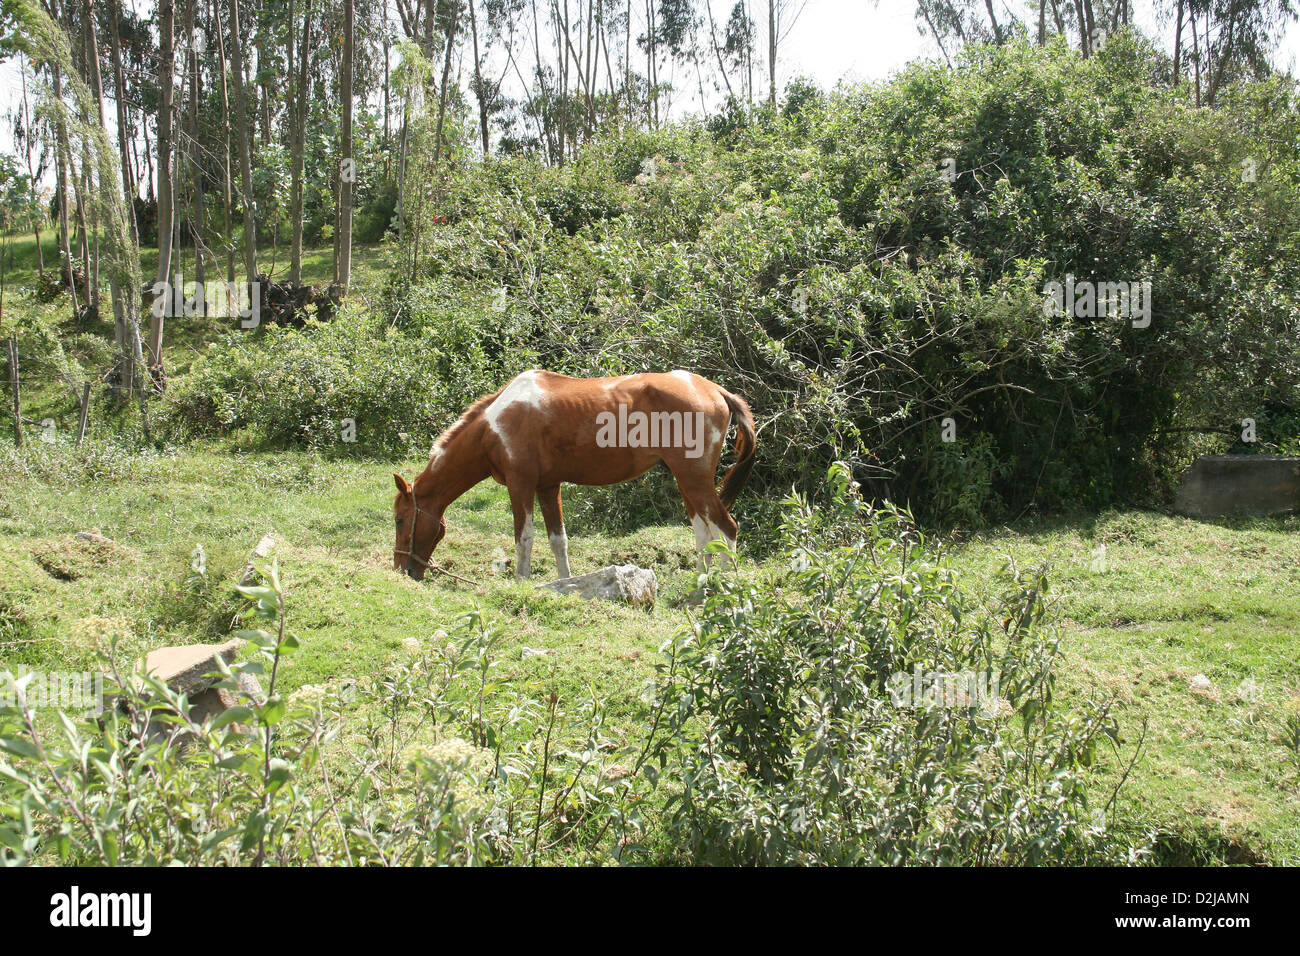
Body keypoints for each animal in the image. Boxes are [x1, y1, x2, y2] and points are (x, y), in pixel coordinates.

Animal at [395, 371, 759, 582]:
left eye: (400, 519)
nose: (402, 569)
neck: (493, 426)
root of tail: (715, 390)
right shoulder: (547, 486)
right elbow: (558, 540)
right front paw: (564, 583)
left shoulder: (520, 484)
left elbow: (524, 538)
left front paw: (521, 583)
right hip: (688, 482)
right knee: (704, 532)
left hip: (694, 480)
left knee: (727, 528)